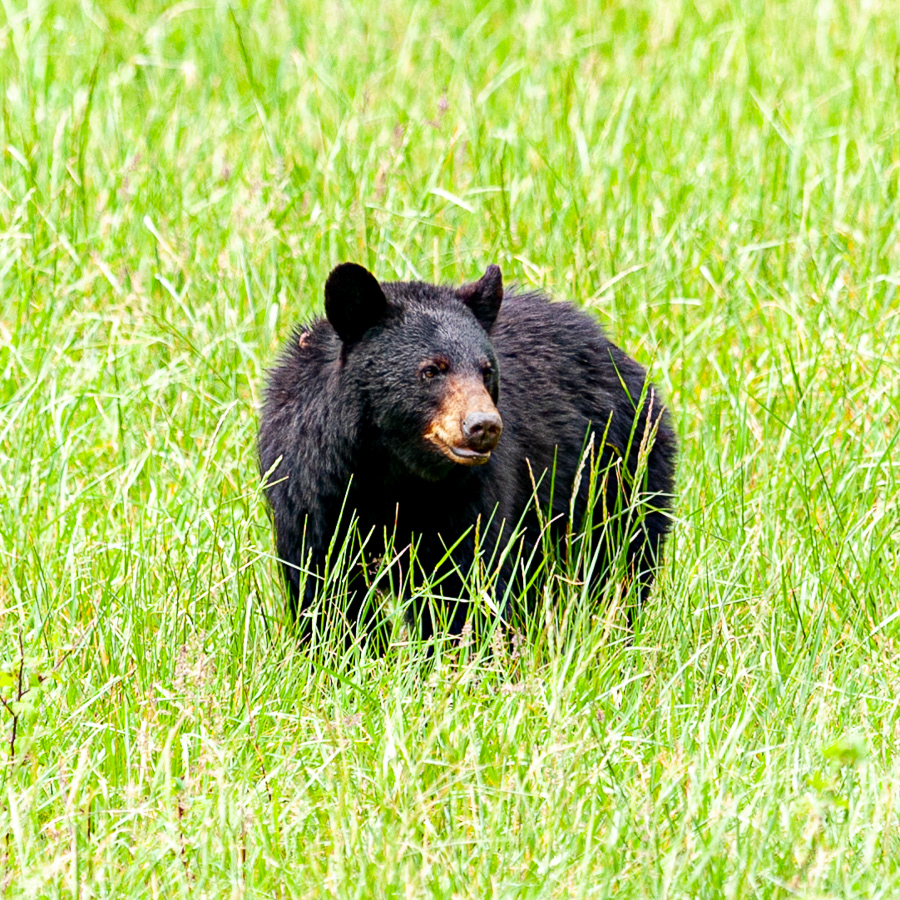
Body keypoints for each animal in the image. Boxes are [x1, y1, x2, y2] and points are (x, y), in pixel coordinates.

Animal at [258, 262, 676, 642]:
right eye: (431, 370)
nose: (483, 426)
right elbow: (325, 586)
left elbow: (466, 580)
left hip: (620, 473)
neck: (393, 469)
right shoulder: (311, 486)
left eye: (486, 370)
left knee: (623, 560)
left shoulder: (469, 495)